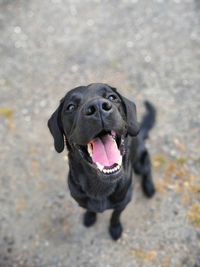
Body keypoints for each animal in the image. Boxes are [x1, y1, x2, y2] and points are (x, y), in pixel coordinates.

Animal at [47, 84, 155, 241]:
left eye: (112, 97)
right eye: (71, 107)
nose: (97, 107)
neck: (101, 184)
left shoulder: (123, 202)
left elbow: (115, 216)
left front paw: (115, 228)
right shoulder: (81, 200)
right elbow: (90, 209)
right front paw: (90, 217)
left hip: (140, 163)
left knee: (147, 166)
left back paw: (149, 187)